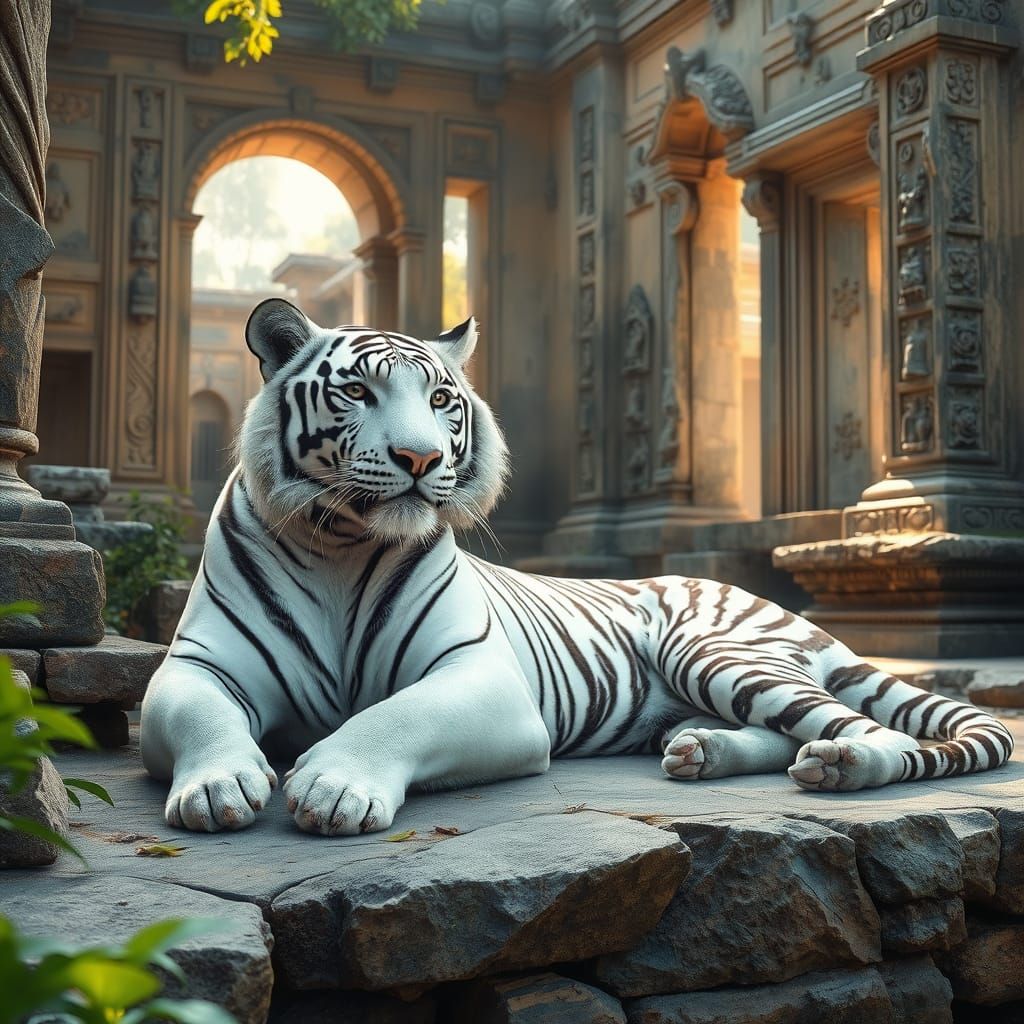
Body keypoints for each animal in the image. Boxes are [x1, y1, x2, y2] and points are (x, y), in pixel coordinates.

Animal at [139, 297, 1014, 835]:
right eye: (357, 392)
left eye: (442, 401)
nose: (420, 459)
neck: (341, 547)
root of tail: (773, 603)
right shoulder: (197, 666)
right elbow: (204, 717)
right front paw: (218, 787)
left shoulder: (484, 679)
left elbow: (395, 716)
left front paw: (334, 784)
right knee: (776, 733)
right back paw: (702, 752)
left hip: (714, 653)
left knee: (872, 732)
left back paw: (839, 765)